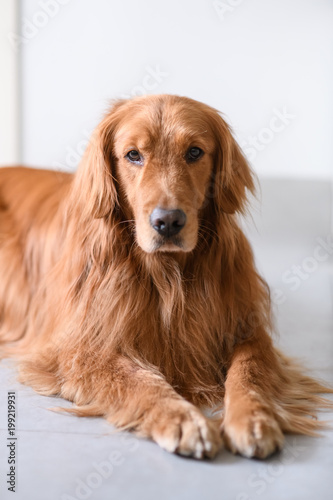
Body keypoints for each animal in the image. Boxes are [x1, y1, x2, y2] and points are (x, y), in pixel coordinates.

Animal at [0, 94, 330, 460]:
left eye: (195, 152)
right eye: (133, 154)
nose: (168, 222)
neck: (167, 275)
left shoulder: (246, 328)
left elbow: (250, 369)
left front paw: (254, 417)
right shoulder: (77, 348)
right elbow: (136, 377)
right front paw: (181, 418)